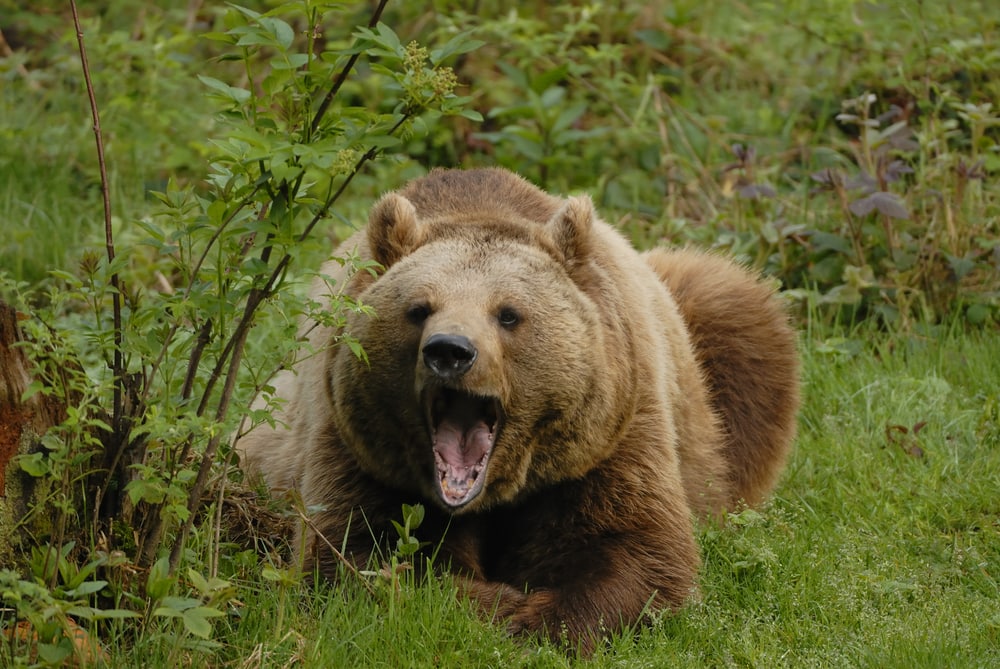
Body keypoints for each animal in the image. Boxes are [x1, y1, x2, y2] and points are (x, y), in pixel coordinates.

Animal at [236, 167, 799, 652]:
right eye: (418, 308)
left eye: (508, 314)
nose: (450, 351)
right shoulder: (357, 443)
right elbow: (357, 554)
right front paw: (494, 606)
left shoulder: (610, 436)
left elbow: (637, 553)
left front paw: (545, 616)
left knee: (734, 310)